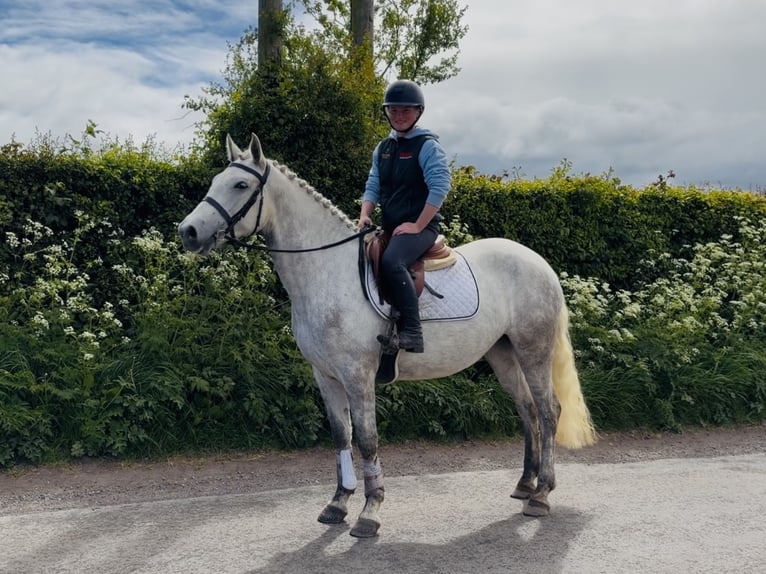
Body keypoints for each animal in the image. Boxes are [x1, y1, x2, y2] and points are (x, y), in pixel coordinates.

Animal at [178, 133, 596, 538]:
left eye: (241, 184)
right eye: (215, 181)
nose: (188, 232)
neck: (326, 271)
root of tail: (539, 262)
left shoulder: (357, 375)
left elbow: (366, 439)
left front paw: (370, 511)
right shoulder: (325, 376)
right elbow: (341, 436)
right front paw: (338, 504)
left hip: (533, 350)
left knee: (548, 410)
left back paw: (541, 494)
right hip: (503, 354)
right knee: (527, 410)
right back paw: (525, 484)